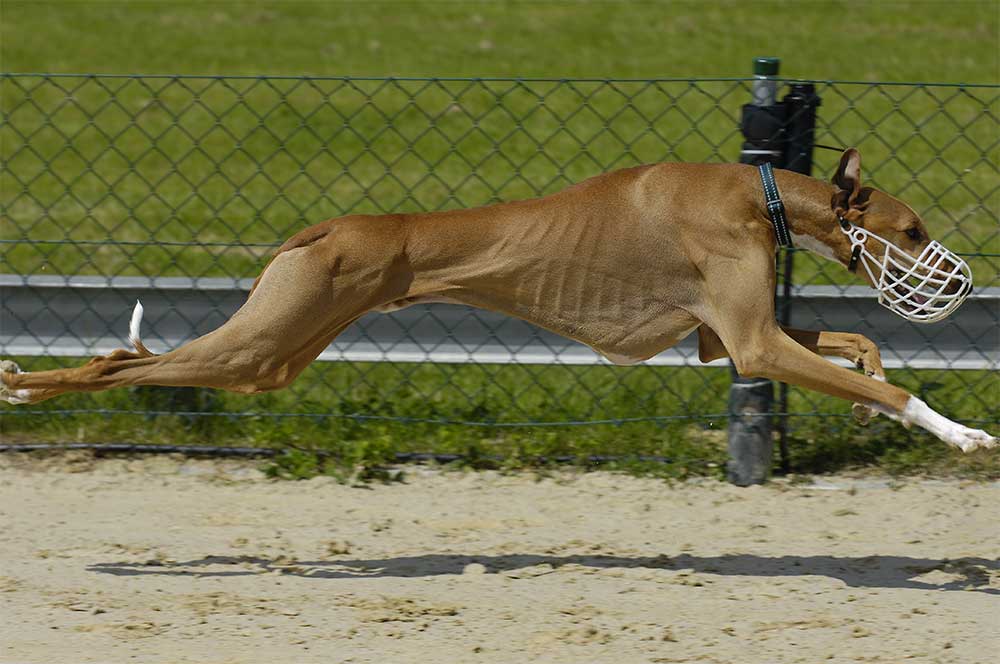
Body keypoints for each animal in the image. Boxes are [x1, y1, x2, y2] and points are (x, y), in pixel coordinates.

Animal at [3, 147, 996, 452]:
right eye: (913, 230)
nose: (960, 282)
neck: (760, 195)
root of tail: (325, 228)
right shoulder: (749, 344)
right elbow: (893, 382)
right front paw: (961, 434)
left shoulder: (725, 341)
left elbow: (862, 353)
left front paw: (875, 393)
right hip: (261, 347)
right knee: (115, 365)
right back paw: (23, 384)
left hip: (279, 353)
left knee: (131, 356)